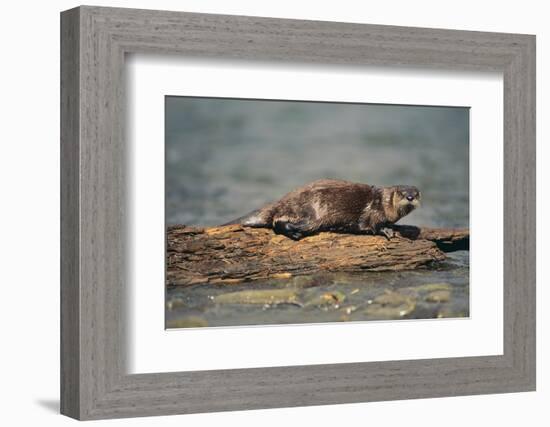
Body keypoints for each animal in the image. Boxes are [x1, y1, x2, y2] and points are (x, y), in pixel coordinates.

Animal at [224, 179, 422, 241]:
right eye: (402, 193)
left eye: (417, 192)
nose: (410, 197)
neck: (383, 203)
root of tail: (280, 201)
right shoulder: (372, 213)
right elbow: (369, 225)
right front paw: (387, 230)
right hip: (310, 214)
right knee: (278, 222)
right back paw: (295, 233)